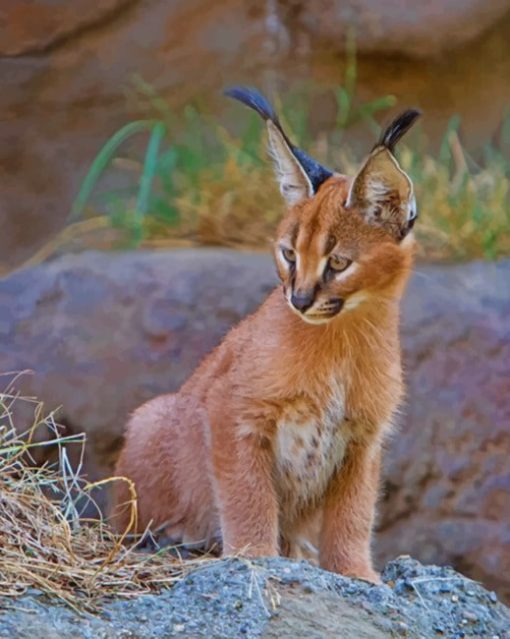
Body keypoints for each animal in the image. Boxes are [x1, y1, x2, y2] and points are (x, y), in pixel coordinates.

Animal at [113, 87, 420, 584]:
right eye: (289, 254)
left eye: (338, 263)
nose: (299, 299)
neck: (341, 340)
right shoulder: (232, 409)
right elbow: (248, 492)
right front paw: (254, 555)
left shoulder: (363, 438)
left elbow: (353, 512)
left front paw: (355, 572)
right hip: (151, 416)